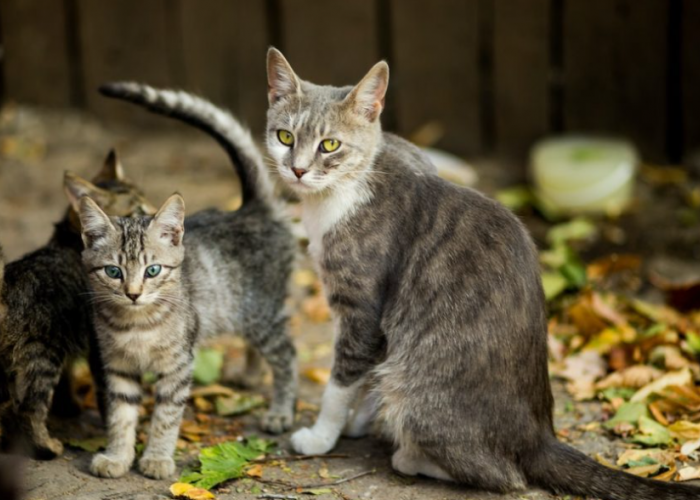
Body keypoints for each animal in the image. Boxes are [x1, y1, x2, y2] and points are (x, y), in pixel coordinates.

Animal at [0, 154, 154, 458]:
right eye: (138, 210)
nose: (156, 212)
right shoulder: (98, 346)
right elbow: (109, 396)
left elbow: (68, 380)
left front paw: (69, 406)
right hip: (41, 356)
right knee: (27, 409)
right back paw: (46, 446)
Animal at [75, 87, 296, 480]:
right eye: (113, 272)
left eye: (152, 270)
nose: (133, 294)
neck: (137, 324)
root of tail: (251, 209)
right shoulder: (117, 367)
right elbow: (120, 416)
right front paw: (117, 456)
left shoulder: (179, 364)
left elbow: (166, 415)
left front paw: (157, 458)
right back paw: (250, 376)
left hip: (263, 314)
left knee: (287, 356)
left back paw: (280, 411)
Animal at [266, 47, 700, 500]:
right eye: (285, 137)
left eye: (330, 144)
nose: (297, 170)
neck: (344, 190)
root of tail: (539, 437)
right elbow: (369, 370)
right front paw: (358, 419)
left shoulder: (361, 306)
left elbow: (342, 379)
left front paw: (322, 435)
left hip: (421, 395)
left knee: (505, 476)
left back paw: (411, 457)